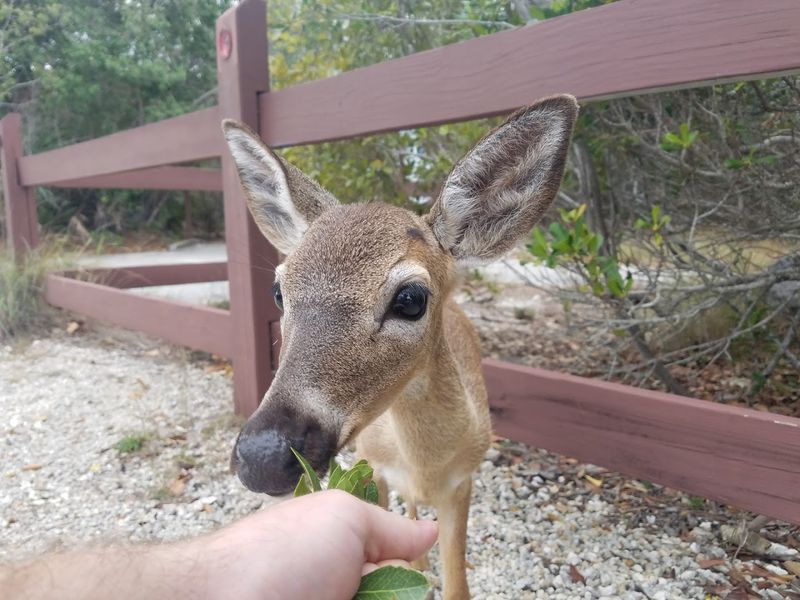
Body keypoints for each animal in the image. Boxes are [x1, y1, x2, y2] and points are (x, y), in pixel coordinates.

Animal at [223, 94, 578, 599]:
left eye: (411, 299)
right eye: (277, 291)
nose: (263, 456)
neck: (424, 463)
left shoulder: (463, 483)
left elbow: (457, 586)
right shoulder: (373, 468)